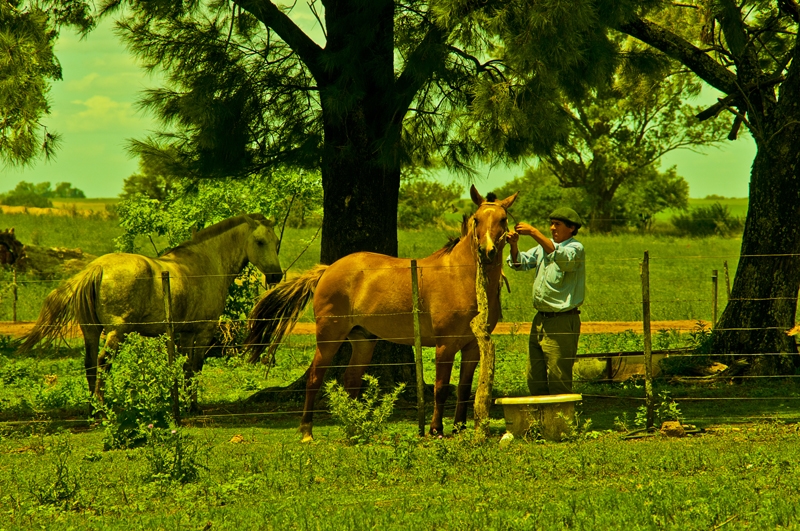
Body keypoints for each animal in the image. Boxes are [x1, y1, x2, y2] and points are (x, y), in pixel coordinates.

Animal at [18, 214, 284, 396]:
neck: (205, 262)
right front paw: (192, 404)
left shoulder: (185, 333)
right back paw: (102, 409)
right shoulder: (203, 330)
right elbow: (196, 367)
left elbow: (186, 367)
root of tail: (98, 268)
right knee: (103, 362)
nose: (276, 276)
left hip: (91, 332)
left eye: (276, 241)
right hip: (117, 332)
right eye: (260, 241)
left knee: (90, 364)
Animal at [245, 187, 520, 440]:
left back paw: (354, 426)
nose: (488, 251)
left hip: (363, 340)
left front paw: (460, 428)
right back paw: (306, 431)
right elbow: (441, 388)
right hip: (329, 337)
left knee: (351, 379)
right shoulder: (445, 345)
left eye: (502, 219)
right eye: (477, 219)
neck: (459, 275)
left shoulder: (472, 347)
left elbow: (464, 389)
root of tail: (328, 269)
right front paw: (436, 429)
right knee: (315, 378)